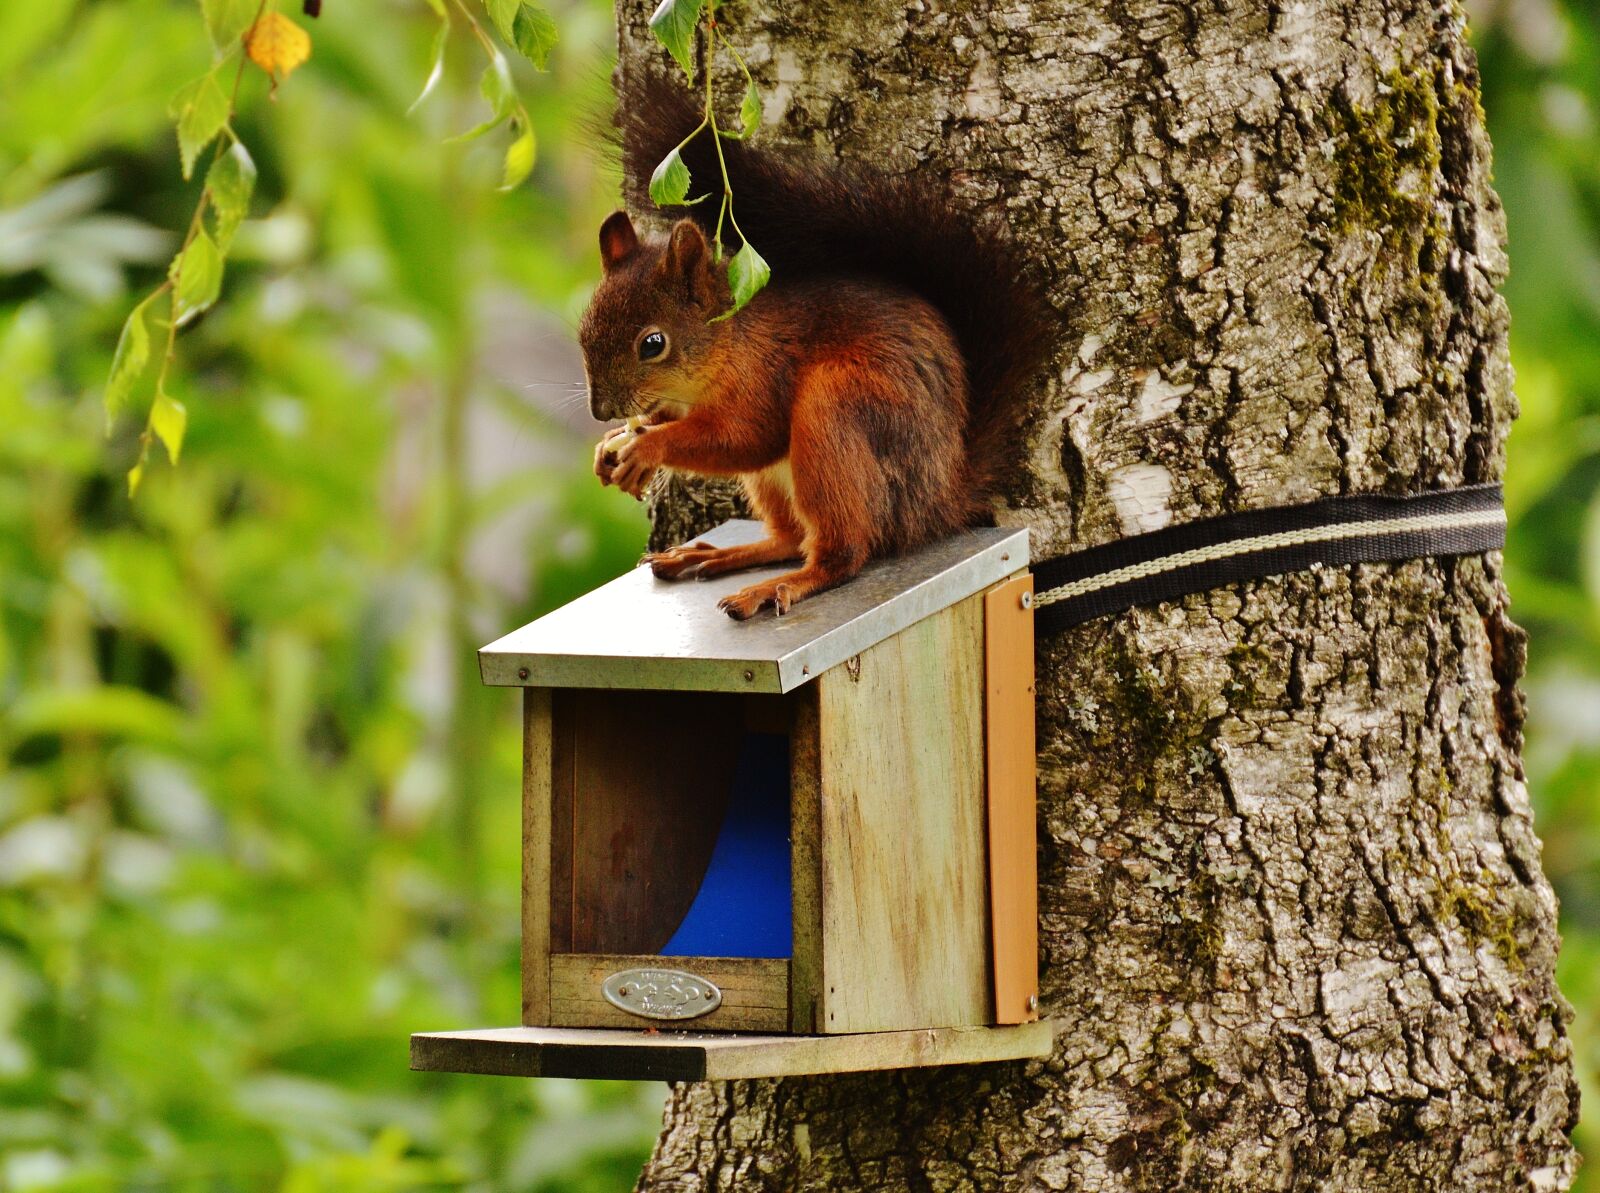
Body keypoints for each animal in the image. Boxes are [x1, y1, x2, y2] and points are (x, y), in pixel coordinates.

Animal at [580, 68, 1054, 620]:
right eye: (583, 330)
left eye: (653, 343)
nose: (600, 410)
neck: (727, 343)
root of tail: (939, 499)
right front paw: (612, 445)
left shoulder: (762, 375)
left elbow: (745, 437)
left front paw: (646, 446)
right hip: (776, 479)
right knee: (790, 538)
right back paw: (715, 555)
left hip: (836, 410)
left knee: (842, 552)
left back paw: (779, 586)